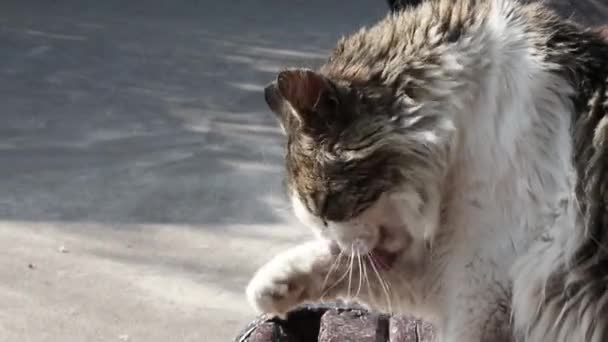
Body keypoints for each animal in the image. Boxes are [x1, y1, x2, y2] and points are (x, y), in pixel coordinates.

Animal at [246, 1, 608, 340]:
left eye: (324, 211)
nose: (334, 241)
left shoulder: (480, 290)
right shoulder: (450, 273)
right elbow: (350, 269)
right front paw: (274, 284)